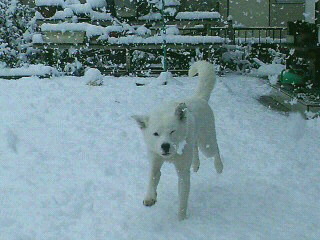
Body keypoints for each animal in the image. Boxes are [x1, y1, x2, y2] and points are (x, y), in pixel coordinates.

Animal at [132, 61, 222, 220]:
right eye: (156, 134)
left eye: (172, 131)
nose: (165, 146)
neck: (172, 155)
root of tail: (200, 98)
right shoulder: (154, 160)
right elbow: (152, 177)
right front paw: (150, 197)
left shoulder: (183, 172)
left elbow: (183, 197)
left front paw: (182, 220)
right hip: (195, 140)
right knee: (195, 147)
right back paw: (196, 164)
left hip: (207, 143)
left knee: (215, 149)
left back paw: (219, 166)